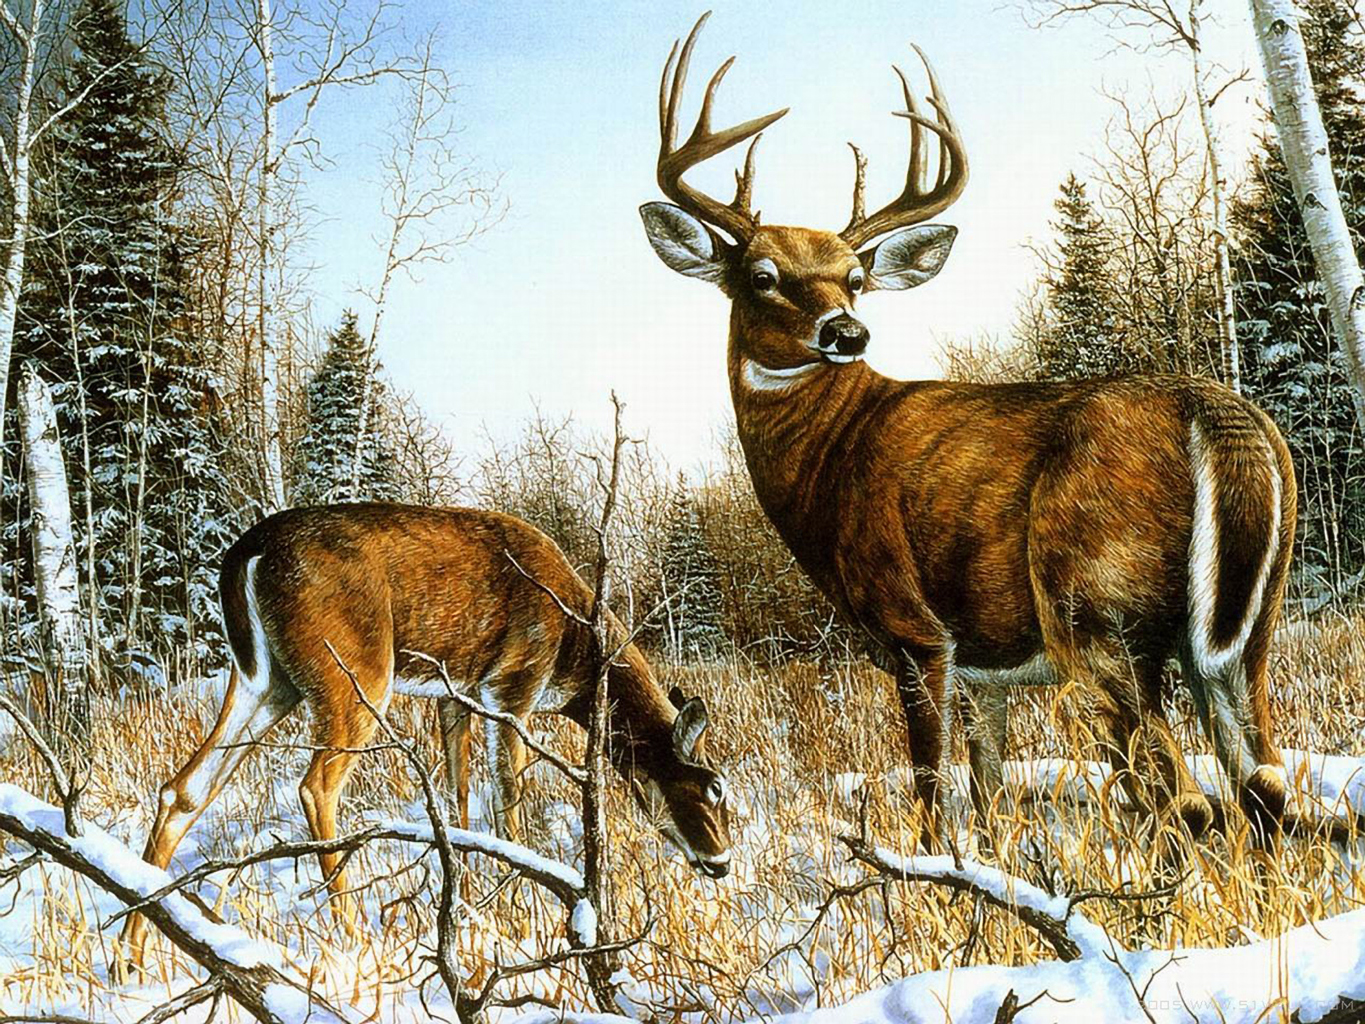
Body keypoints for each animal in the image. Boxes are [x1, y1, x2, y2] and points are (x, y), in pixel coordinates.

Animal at [121, 503, 732, 966]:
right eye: (710, 788)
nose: (721, 861)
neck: (580, 656)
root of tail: (247, 554)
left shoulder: (454, 695)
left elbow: (459, 793)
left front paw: (470, 898)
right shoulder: (512, 686)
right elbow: (508, 794)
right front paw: (520, 909)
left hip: (267, 680)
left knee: (185, 787)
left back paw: (134, 951)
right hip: (355, 674)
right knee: (316, 786)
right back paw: (352, 933)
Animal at [639, 13, 1295, 854]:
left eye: (854, 277)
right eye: (760, 275)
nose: (846, 332)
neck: (830, 452)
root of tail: (1217, 415)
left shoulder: (914, 629)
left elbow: (929, 790)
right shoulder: (987, 671)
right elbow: (985, 794)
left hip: (1096, 614)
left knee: (1181, 797)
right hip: (1246, 628)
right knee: (1261, 786)